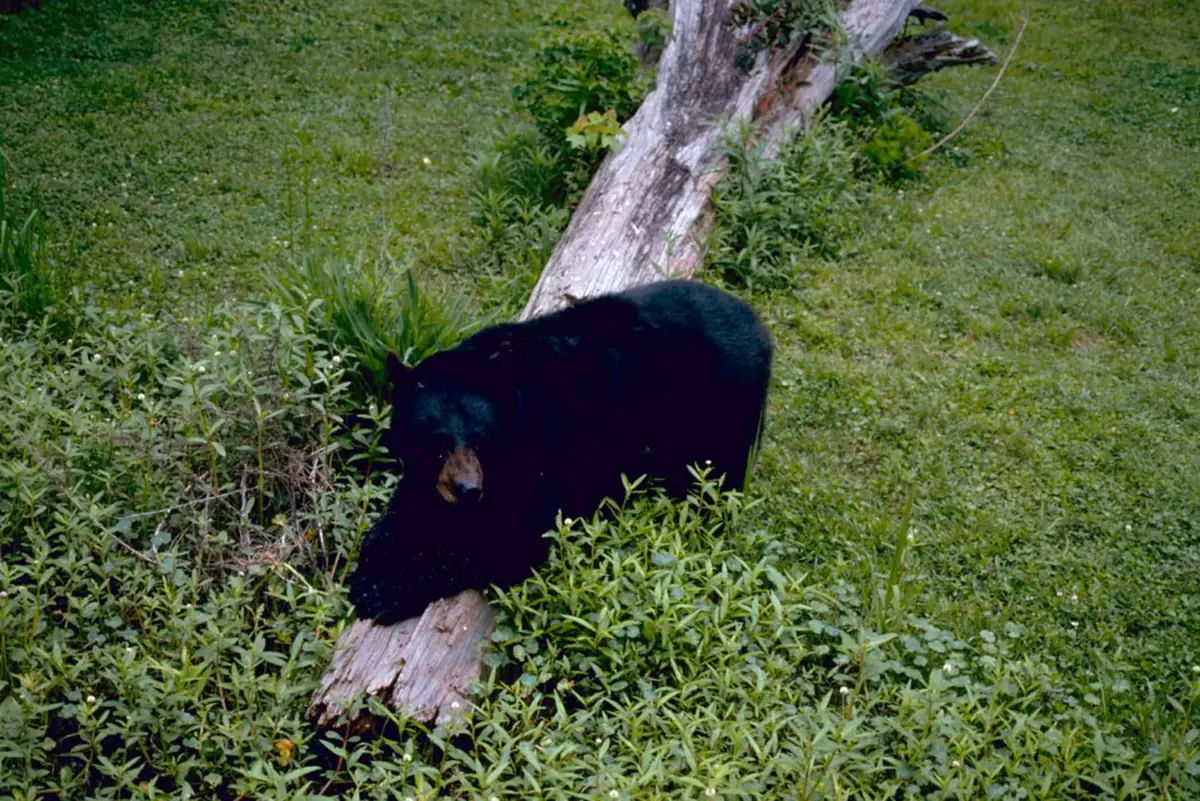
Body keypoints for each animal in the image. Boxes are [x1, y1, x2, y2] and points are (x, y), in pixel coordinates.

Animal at [348, 279, 773, 624]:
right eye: (435, 442)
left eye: (481, 436)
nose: (469, 490)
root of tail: (758, 324)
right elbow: (409, 505)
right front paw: (374, 559)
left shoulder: (545, 449)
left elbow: (513, 537)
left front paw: (382, 591)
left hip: (725, 405)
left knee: (720, 477)